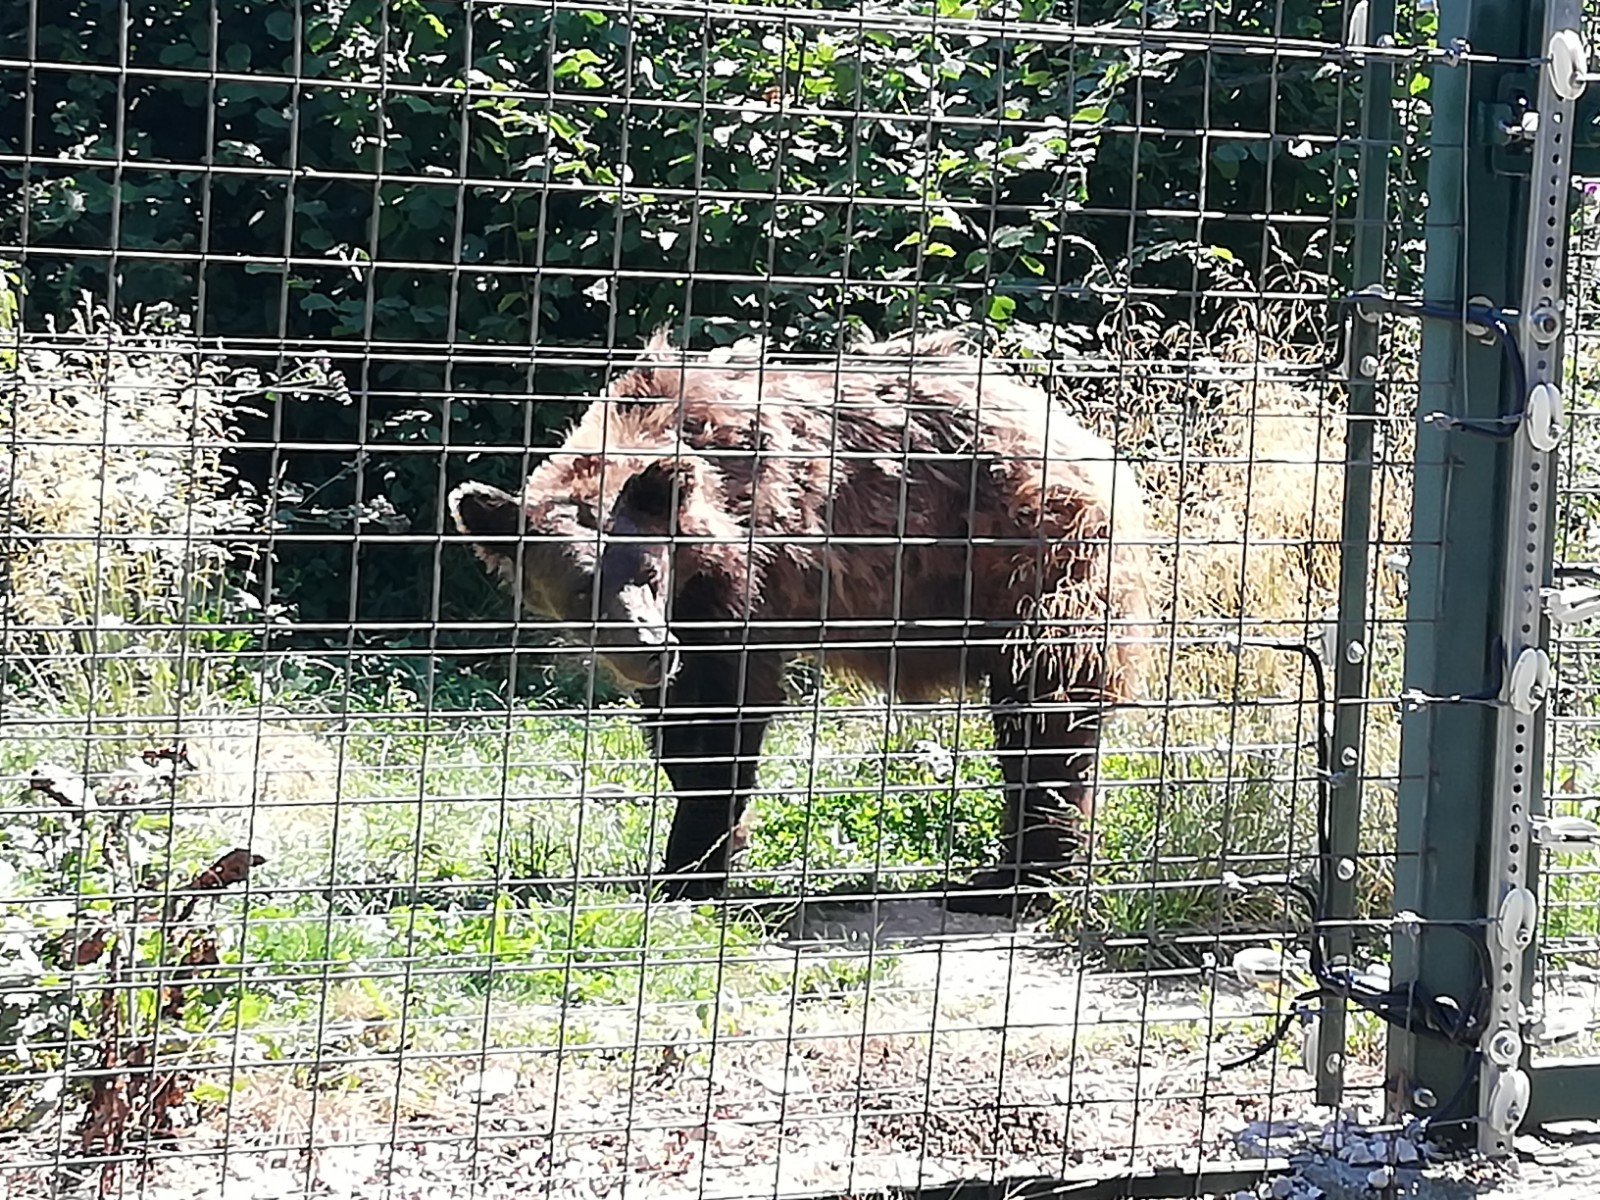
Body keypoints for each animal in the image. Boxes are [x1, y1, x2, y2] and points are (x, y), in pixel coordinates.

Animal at [448, 329, 1152, 914]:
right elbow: (679, 726)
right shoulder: (693, 617)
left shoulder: (754, 578)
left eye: (648, 571)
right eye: (581, 590)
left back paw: (1013, 882)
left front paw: (690, 868)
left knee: (1046, 711)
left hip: (1028, 561)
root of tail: (1079, 436)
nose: (649, 649)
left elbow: (723, 722)